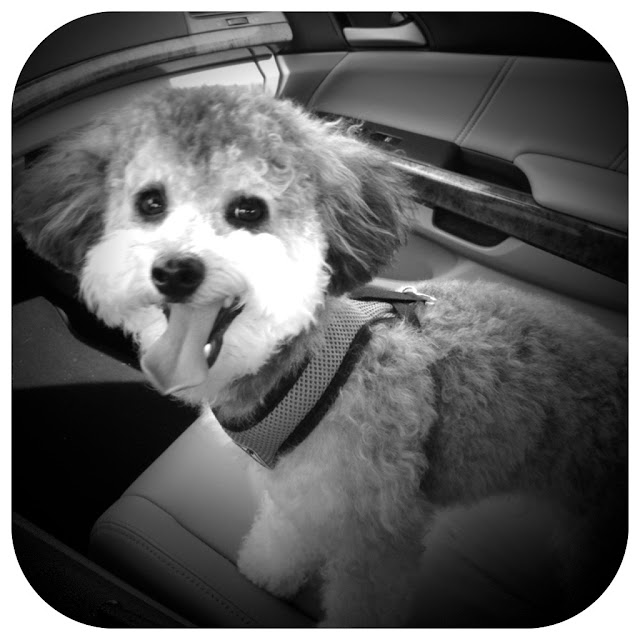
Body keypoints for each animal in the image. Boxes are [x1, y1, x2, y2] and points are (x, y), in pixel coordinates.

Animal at [14, 85, 627, 626]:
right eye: (150, 202)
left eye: (249, 209)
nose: (175, 270)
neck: (305, 368)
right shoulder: (302, 489)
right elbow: (287, 533)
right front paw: (267, 571)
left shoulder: (378, 527)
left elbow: (366, 596)